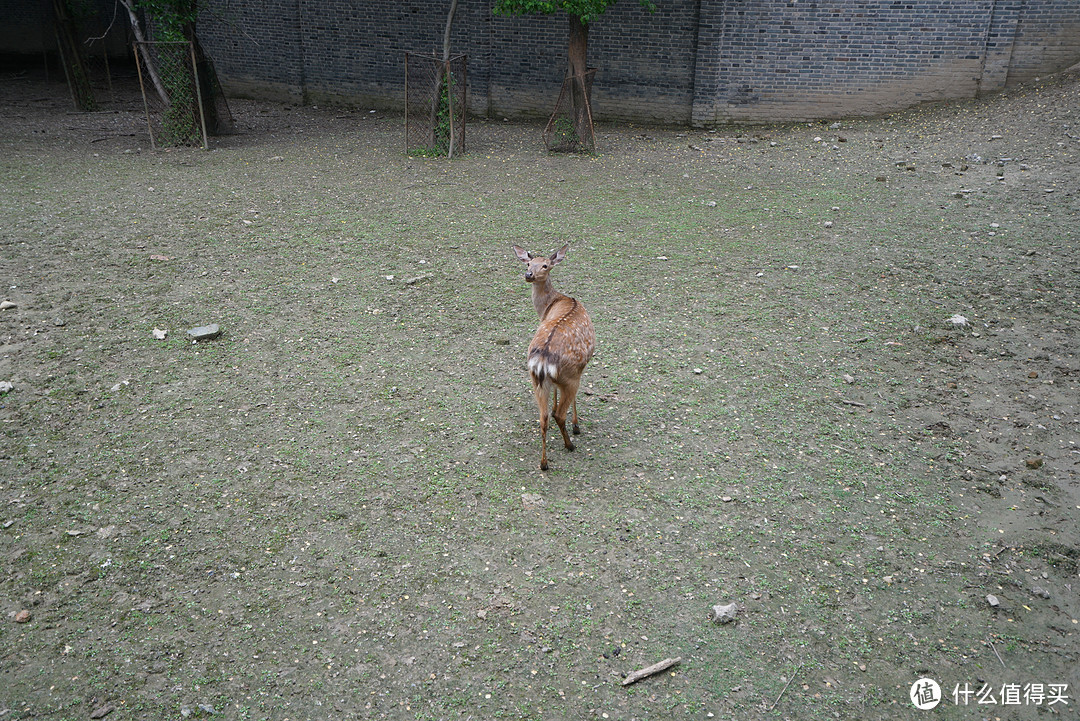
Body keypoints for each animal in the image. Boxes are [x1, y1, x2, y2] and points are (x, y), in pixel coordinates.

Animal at [509, 245, 596, 470]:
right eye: (529, 264)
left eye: (545, 265)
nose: (528, 274)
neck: (553, 302)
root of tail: (542, 360)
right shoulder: (579, 370)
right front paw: (576, 424)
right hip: (571, 375)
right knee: (558, 415)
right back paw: (570, 444)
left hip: (535, 379)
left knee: (544, 417)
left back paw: (544, 463)